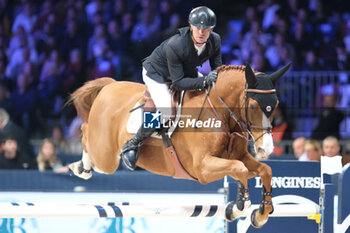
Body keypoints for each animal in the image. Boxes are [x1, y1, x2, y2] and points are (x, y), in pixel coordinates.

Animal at [67, 63, 290, 228]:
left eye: (276, 105)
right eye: (252, 106)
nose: (266, 149)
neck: (220, 112)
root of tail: (109, 86)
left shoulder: (237, 157)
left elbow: (263, 170)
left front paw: (261, 213)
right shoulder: (202, 168)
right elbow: (239, 169)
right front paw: (239, 206)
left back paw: (82, 166)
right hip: (106, 157)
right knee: (86, 134)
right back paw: (81, 168)